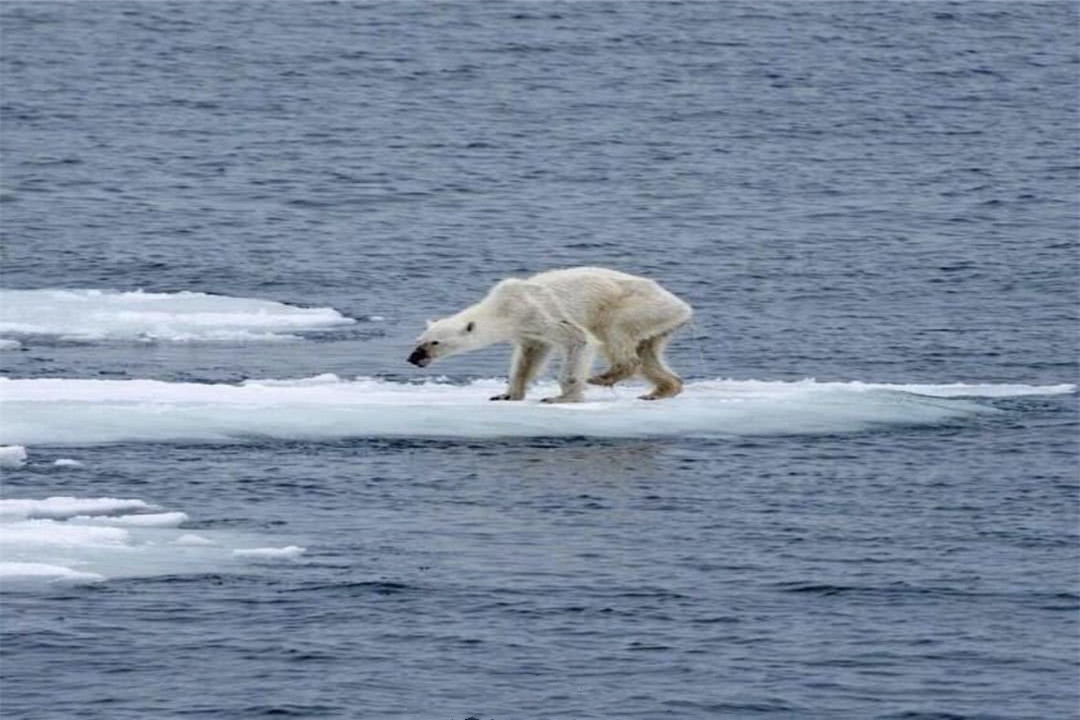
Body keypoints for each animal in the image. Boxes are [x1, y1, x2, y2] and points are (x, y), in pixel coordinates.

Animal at [406, 268, 691, 405]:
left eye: (435, 342)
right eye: (418, 340)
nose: (413, 358)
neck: (504, 306)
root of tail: (683, 307)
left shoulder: (539, 312)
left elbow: (578, 340)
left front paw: (560, 397)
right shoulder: (528, 330)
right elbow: (528, 358)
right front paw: (506, 395)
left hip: (635, 308)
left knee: (615, 335)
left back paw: (602, 377)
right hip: (658, 322)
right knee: (647, 352)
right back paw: (661, 390)